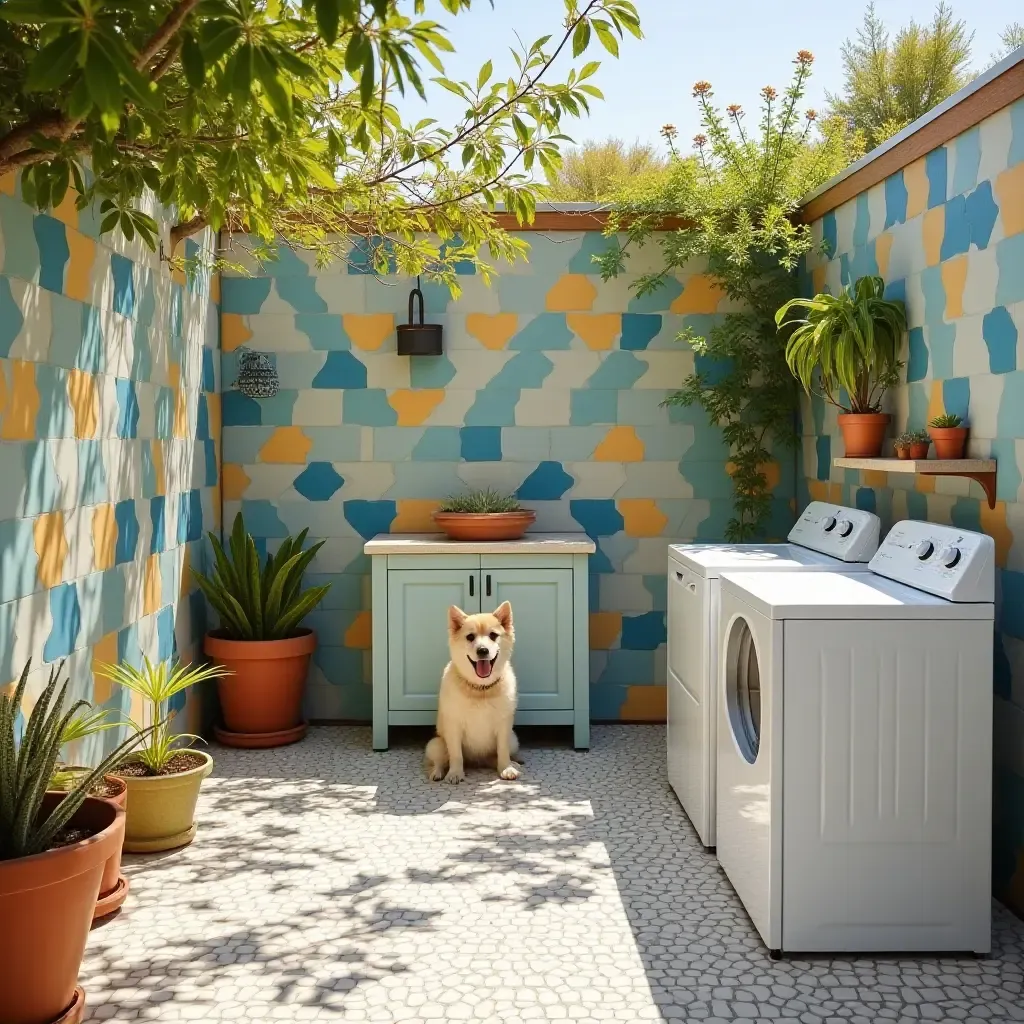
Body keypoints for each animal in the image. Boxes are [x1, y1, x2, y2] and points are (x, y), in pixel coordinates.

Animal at [423, 598, 520, 782]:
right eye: (470, 637)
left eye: (493, 635)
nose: (482, 651)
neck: (480, 689)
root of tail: (476, 761)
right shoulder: (454, 726)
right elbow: (456, 755)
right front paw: (455, 773)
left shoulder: (504, 726)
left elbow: (502, 751)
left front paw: (506, 768)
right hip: (436, 744)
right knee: (440, 760)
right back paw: (438, 772)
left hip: (513, 739)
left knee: (495, 757)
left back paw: (511, 763)